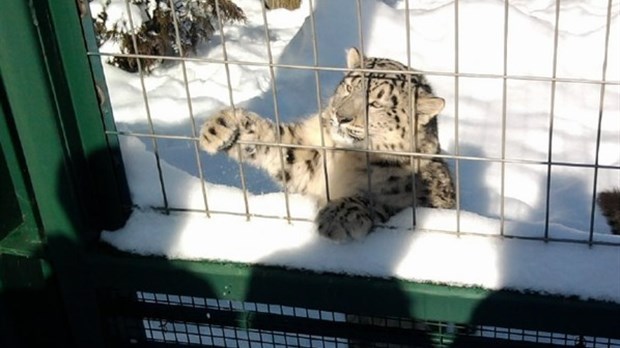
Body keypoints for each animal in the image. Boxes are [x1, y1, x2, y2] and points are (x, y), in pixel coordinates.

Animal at [200, 47, 456, 242]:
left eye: (375, 104)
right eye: (349, 87)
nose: (340, 117)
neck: (346, 157)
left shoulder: (426, 201)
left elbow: (382, 201)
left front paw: (337, 216)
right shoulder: (308, 156)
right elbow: (280, 144)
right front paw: (224, 126)